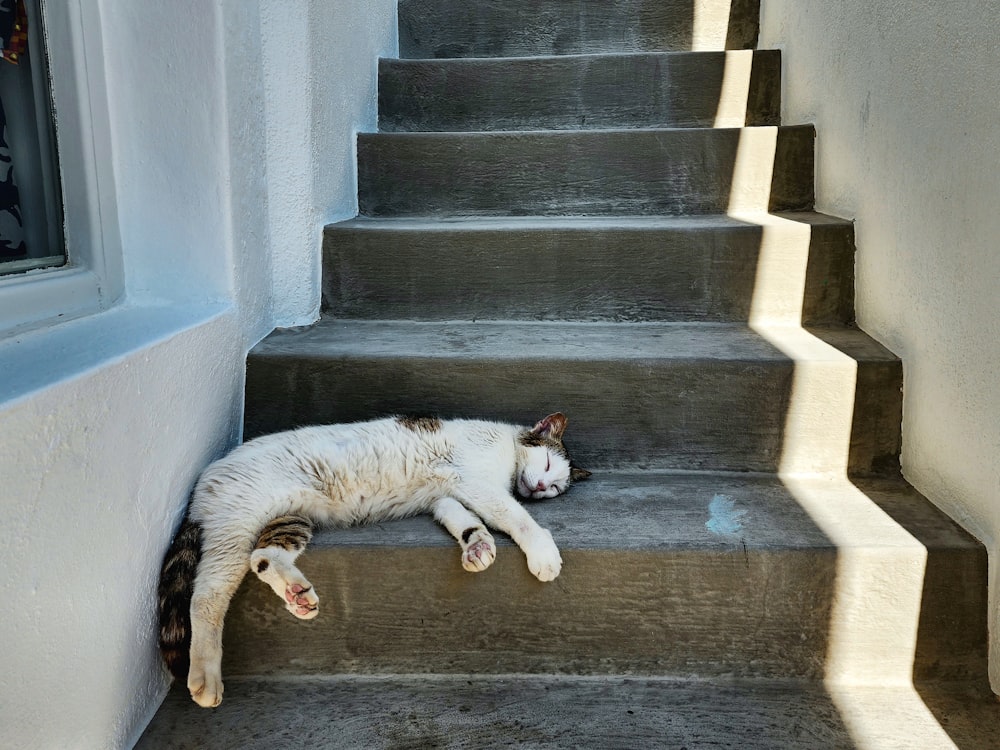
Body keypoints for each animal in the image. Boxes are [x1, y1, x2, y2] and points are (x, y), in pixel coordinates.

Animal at [159, 412, 588, 712]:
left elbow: (459, 516)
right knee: (207, 595)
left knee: (263, 557)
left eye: (553, 488)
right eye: (546, 467)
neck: (508, 451)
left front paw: (476, 544)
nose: (538, 488)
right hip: (238, 524)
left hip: (289, 518)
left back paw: (298, 594)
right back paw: (206, 676)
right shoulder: (475, 481)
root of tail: (205, 480)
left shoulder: (446, 495)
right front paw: (542, 551)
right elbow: (515, 515)